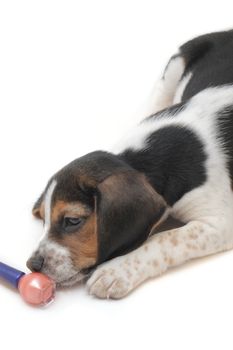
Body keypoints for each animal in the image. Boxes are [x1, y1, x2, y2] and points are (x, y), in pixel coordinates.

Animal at [27, 29, 233, 298]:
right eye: (44, 219)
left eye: (73, 221)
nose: (33, 264)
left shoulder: (220, 222)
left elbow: (163, 239)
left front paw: (116, 271)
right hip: (172, 69)